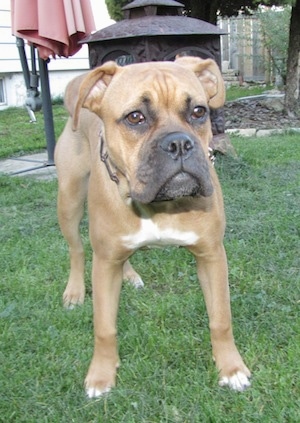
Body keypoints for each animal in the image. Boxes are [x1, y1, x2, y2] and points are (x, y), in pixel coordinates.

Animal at [54, 55, 251, 398]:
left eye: (198, 111)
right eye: (135, 117)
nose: (180, 143)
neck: (161, 204)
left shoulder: (211, 255)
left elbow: (221, 318)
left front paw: (230, 368)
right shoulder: (104, 262)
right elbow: (104, 327)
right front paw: (101, 375)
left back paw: (130, 276)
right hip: (69, 200)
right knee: (76, 250)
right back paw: (75, 291)